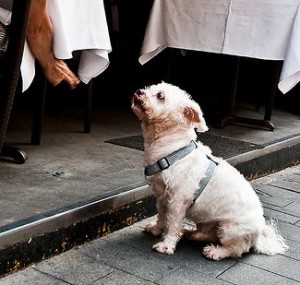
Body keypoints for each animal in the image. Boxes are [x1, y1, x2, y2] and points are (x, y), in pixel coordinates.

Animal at [131, 81, 288, 260]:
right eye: (149, 88)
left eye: (160, 96)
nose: (139, 91)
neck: (173, 147)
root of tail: (259, 233)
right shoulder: (162, 195)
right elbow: (162, 215)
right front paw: (157, 228)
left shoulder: (178, 200)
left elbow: (172, 223)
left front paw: (166, 245)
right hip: (210, 223)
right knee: (208, 235)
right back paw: (190, 233)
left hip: (231, 229)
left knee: (236, 250)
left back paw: (215, 251)